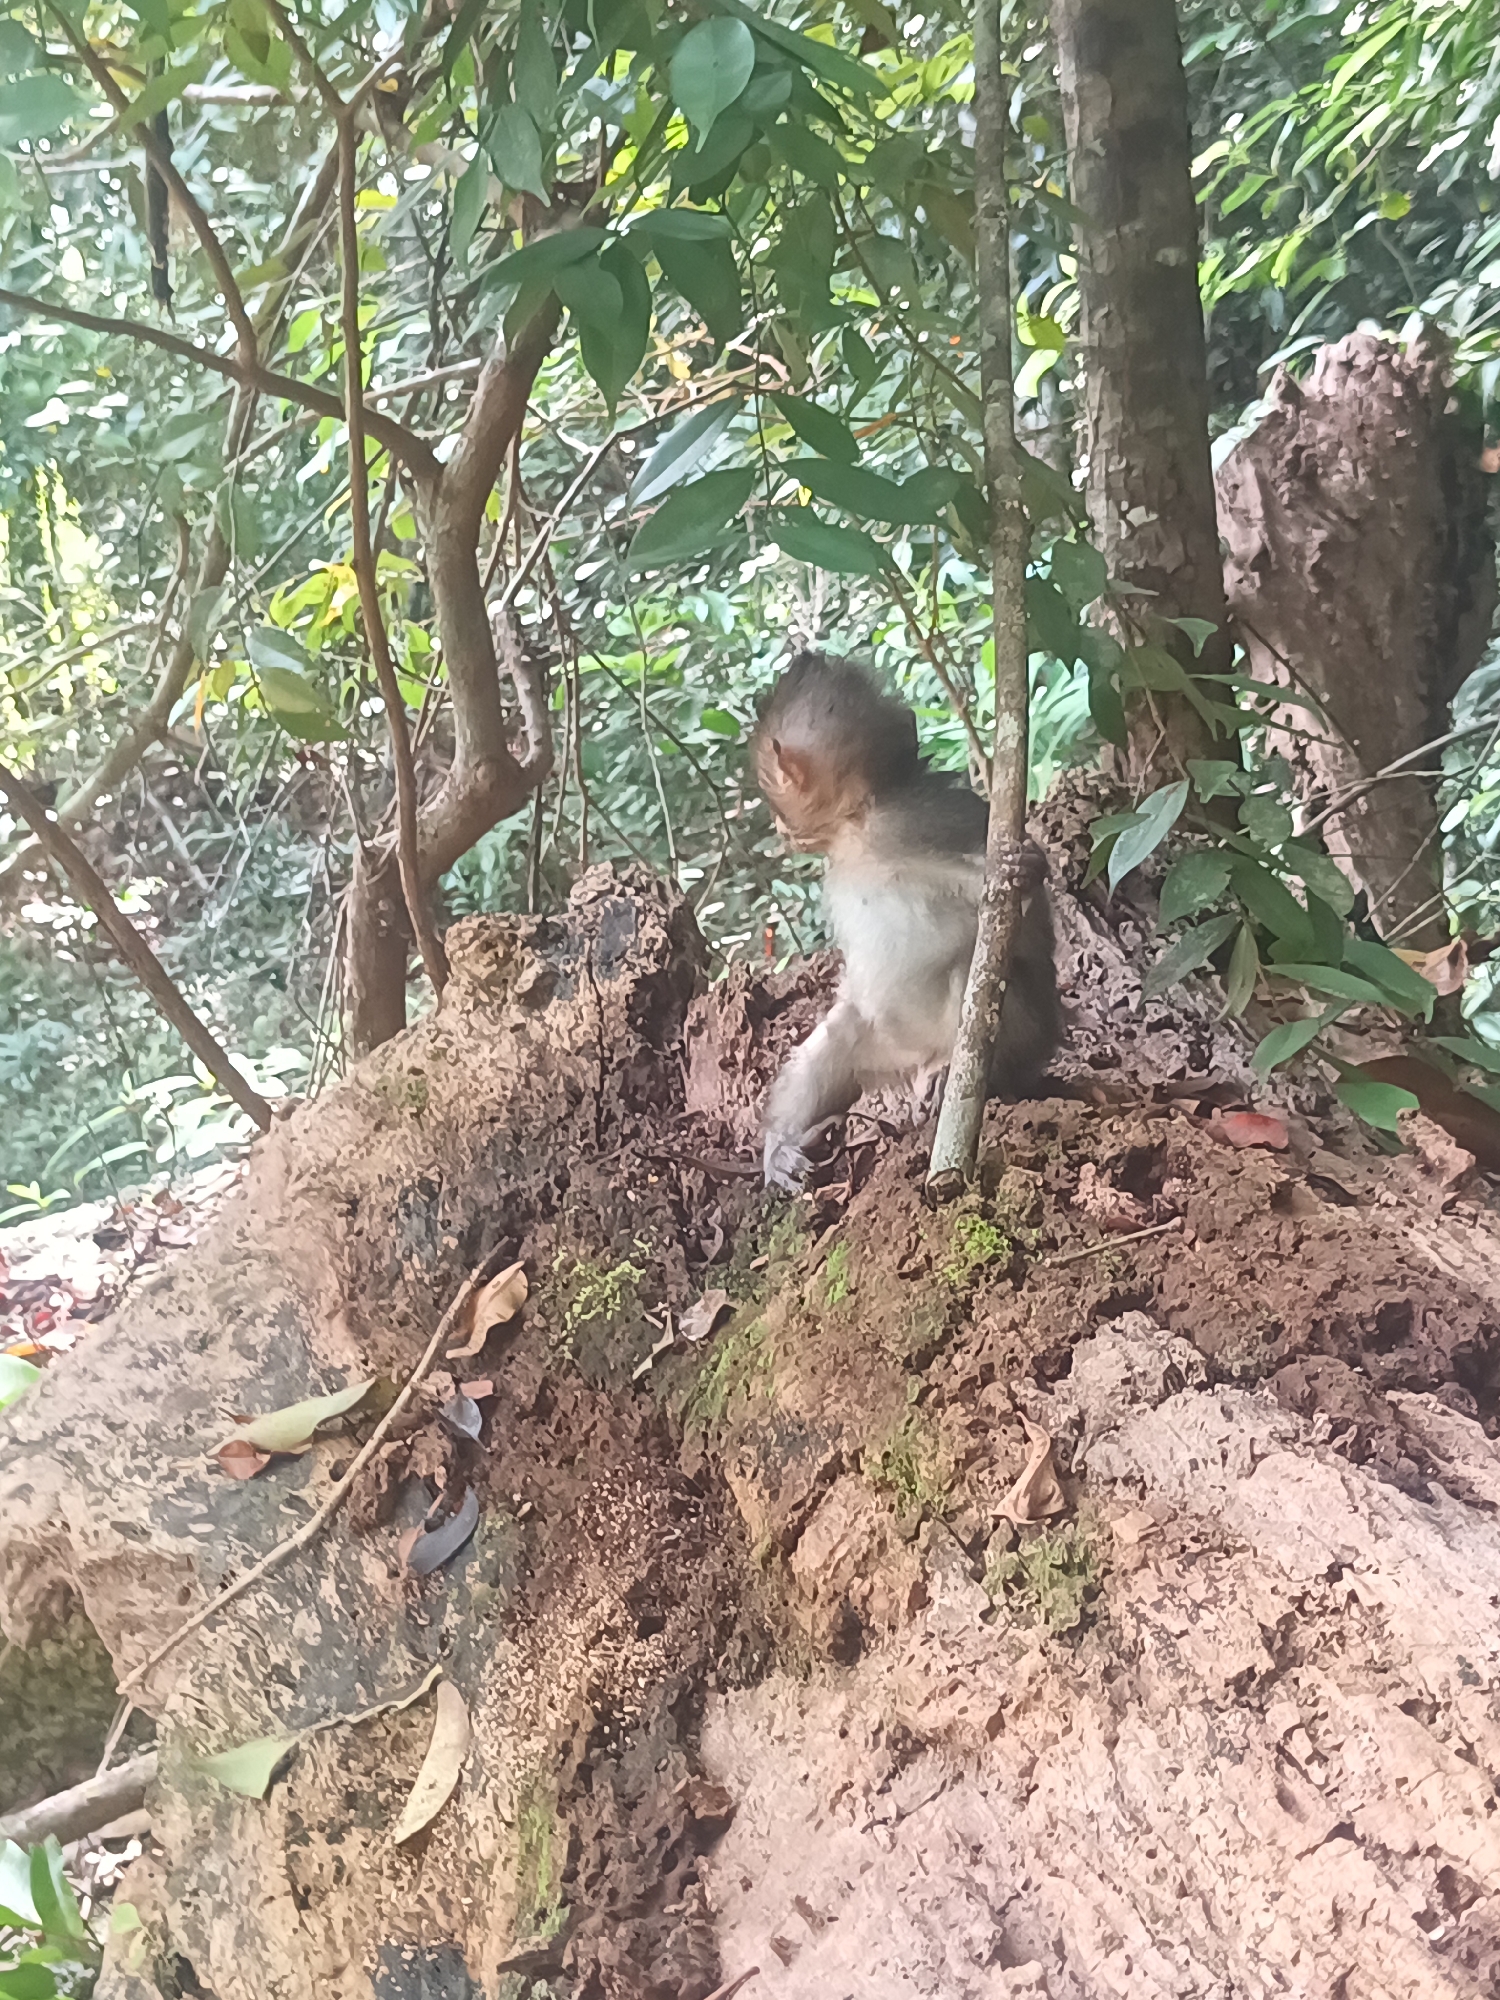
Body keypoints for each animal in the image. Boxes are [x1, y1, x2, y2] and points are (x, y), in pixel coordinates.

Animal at [752, 651, 1062, 1191]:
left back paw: (962, 1071)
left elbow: (1014, 916)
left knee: (975, 972)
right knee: (841, 1034)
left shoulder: (908, 827)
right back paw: (783, 1146)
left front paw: (1023, 873)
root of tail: (916, 1059)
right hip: (882, 1048)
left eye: (774, 799)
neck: (858, 821)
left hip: (1019, 1034)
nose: (777, 827)